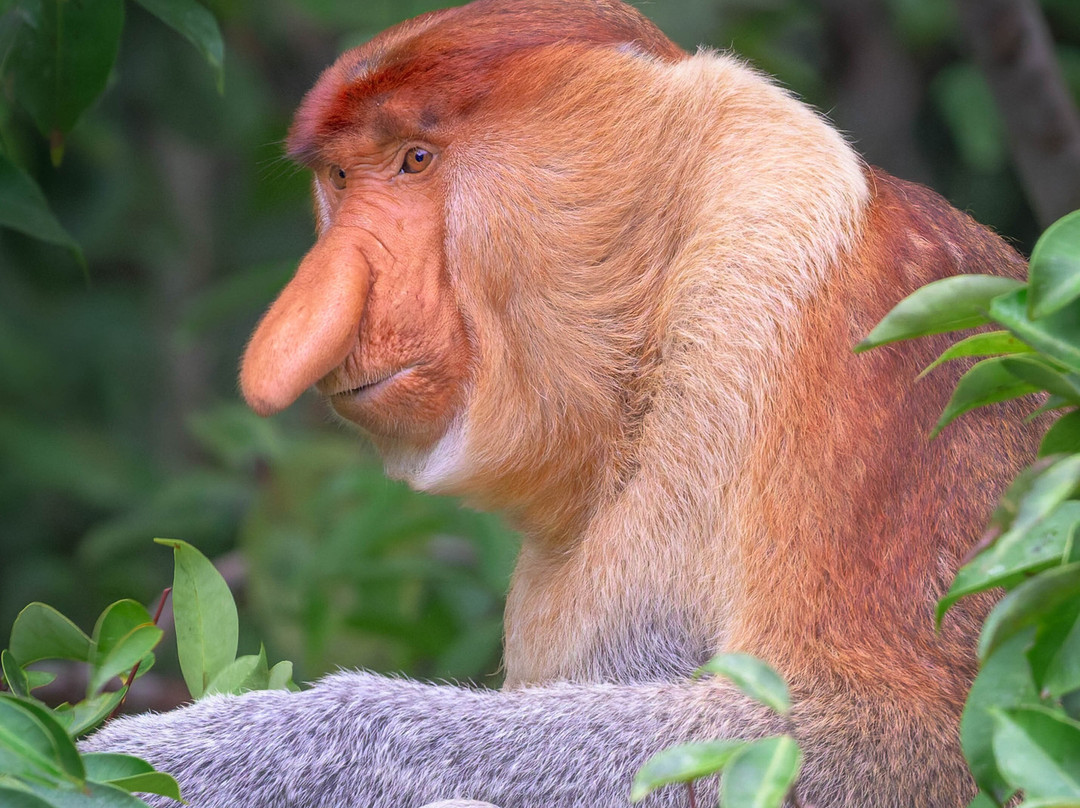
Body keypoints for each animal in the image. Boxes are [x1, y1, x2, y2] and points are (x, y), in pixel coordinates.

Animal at [82, 1, 1039, 806]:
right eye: (344, 179)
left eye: (416, 160)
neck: (655, 346)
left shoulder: (878, 348)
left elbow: (882, 741)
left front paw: (183, 754)